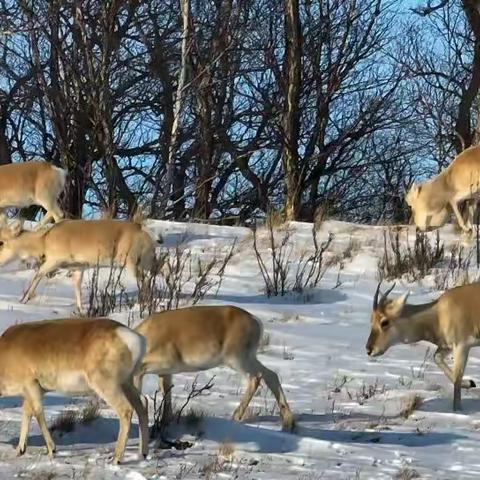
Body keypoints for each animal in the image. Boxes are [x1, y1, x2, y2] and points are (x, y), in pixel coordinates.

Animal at [0, 218, 161, 312]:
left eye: (1, 242)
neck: (43, 240)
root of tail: (141, 229)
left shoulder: (53, 261)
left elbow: (38, 274)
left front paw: (23, 299)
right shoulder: (78, 267)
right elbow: (77, 287)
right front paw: (81, 310)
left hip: (129, 261)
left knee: (144, 280)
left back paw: (144, 302)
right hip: (148, 260)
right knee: (159, 270)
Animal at [0, 316, 148, 464]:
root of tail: (135, 337)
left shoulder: (32, 386)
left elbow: (38, 412)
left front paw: (52, 450)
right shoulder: (31, 392)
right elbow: (27, 412)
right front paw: (20, 450)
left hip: (107, 386)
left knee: (126, 410)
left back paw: (116, 459)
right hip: (126, 382)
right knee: (143, 403)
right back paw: (143, 453)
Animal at [133, 306, 294, 434]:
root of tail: (254, 320)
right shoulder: (166, 373)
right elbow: (166, 394)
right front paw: (165, 422)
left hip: (237, 360)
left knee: (256, 377)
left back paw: (236, 416)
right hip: (248, 358)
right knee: (271, 375)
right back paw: (287, 423)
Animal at [366, 282, 480, 412]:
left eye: (384, 322)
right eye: (372, 320)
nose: (369, 349)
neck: (439, 314)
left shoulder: (462, 346)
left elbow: (457, 376)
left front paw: (458, 410)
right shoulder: (447, 347)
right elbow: (437, 358)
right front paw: (470, 383)